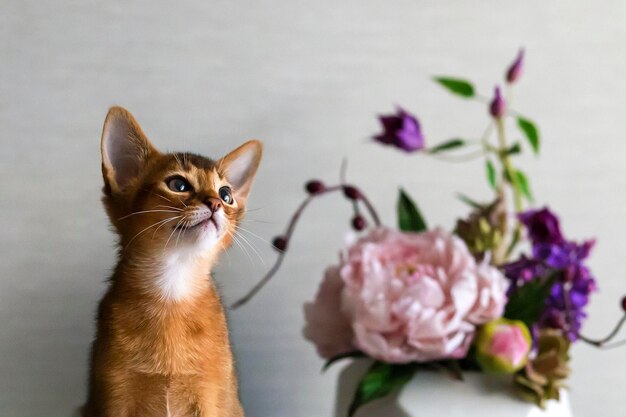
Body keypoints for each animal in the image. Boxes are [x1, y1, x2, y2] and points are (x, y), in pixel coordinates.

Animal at [84, 106, 260, 416]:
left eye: (226, 194)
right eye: (178, 184)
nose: (215, 203)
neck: (172, 292)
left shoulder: (211, 398)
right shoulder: (114, 395)